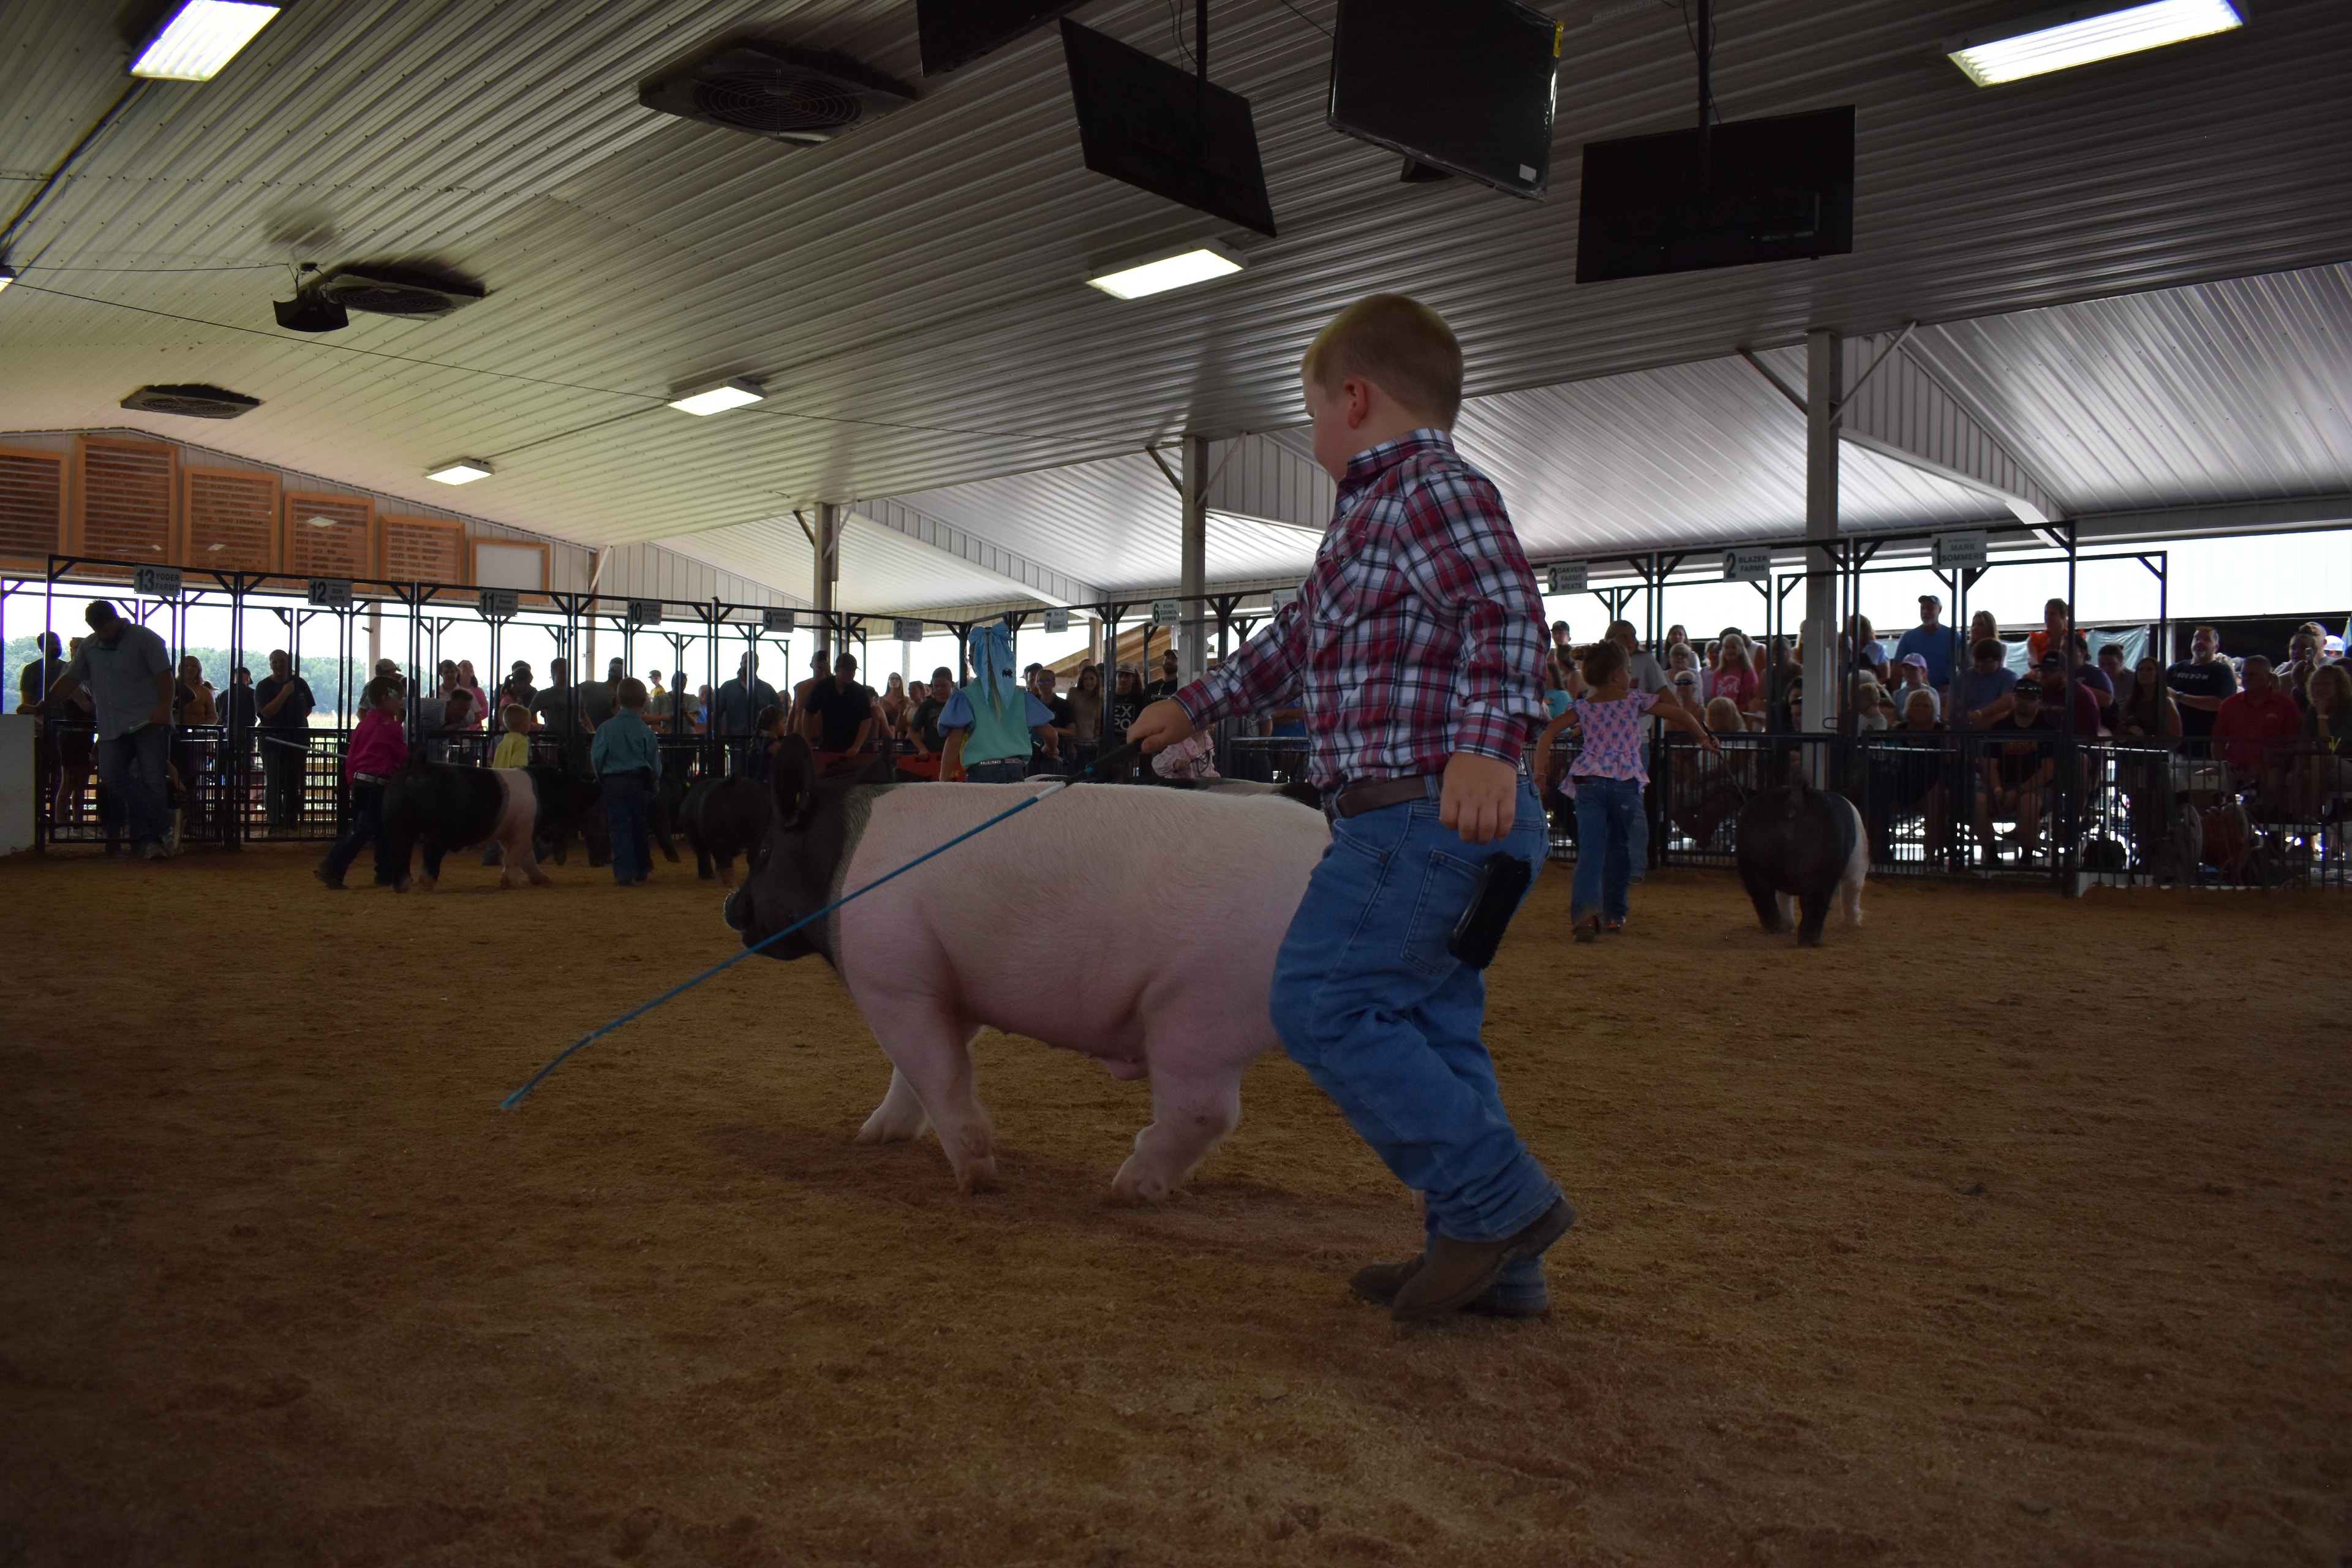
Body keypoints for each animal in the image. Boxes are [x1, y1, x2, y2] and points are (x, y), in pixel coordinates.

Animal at [382, 763, 601, 891]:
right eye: (576, 781)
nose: (596, 785)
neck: (545, 791)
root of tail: (417, 772)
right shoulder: (525, 830)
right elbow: (517, 857)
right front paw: (510, 884)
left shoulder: (510, 834)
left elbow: (525, 859)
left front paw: (545, 881)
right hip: (441, 829)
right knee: (430, 850)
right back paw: (427, 884)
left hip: (397, 825)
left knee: (399, 851)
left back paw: (403, 886)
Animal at [724, 737, 1330, 1201]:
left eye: (762, 851)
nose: (731, 906)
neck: (839, 869)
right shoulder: (947, 983)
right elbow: (916, 1070)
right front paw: (872, 1137)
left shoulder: (893, 978)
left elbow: (934, 1070)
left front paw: (976, 1178)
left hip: (1201, 1010)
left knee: (1206, 1112)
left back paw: (1124, 1190)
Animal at [1733, 780, 1867, 946]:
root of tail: (1795, 798)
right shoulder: (1858, 865)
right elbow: (1852, 891)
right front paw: (1853, 924)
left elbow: (1783, 897)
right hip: (1820, 863)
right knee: (1815, 900)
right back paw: (1811, 941)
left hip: (1752, 856)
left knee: (1763, 894)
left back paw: (1778, 928)